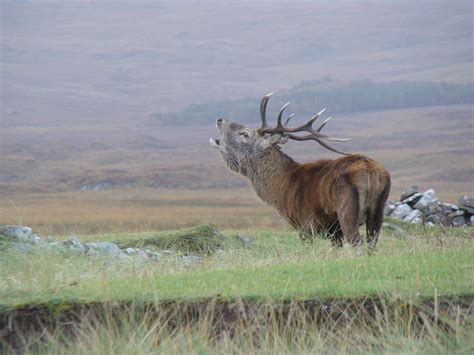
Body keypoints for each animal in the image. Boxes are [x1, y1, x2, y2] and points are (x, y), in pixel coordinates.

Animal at [209, 94, 390, 250]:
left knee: (358, 244)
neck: (281, 190)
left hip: (347, 209)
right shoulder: (333, 230)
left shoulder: (305, 224)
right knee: (372, 245)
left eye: (244, 134)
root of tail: (372, 172)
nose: (220, 119)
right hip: (378, 210)